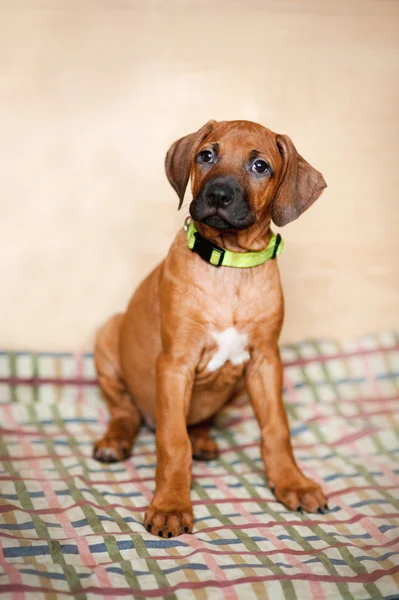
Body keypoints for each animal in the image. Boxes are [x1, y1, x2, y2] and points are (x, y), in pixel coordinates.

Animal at [94, 118, 328, 540]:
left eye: (260, 166)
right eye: (206, 155)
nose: (218, 195)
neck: (230, 264)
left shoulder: (266, 362)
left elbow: (277, 429)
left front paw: (293, 483)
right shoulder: (175, 365)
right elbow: (173, 441)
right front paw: (170, 505)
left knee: (198, 420)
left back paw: (203, 440)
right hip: (108, 335)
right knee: (126, 411)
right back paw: (114, 440)